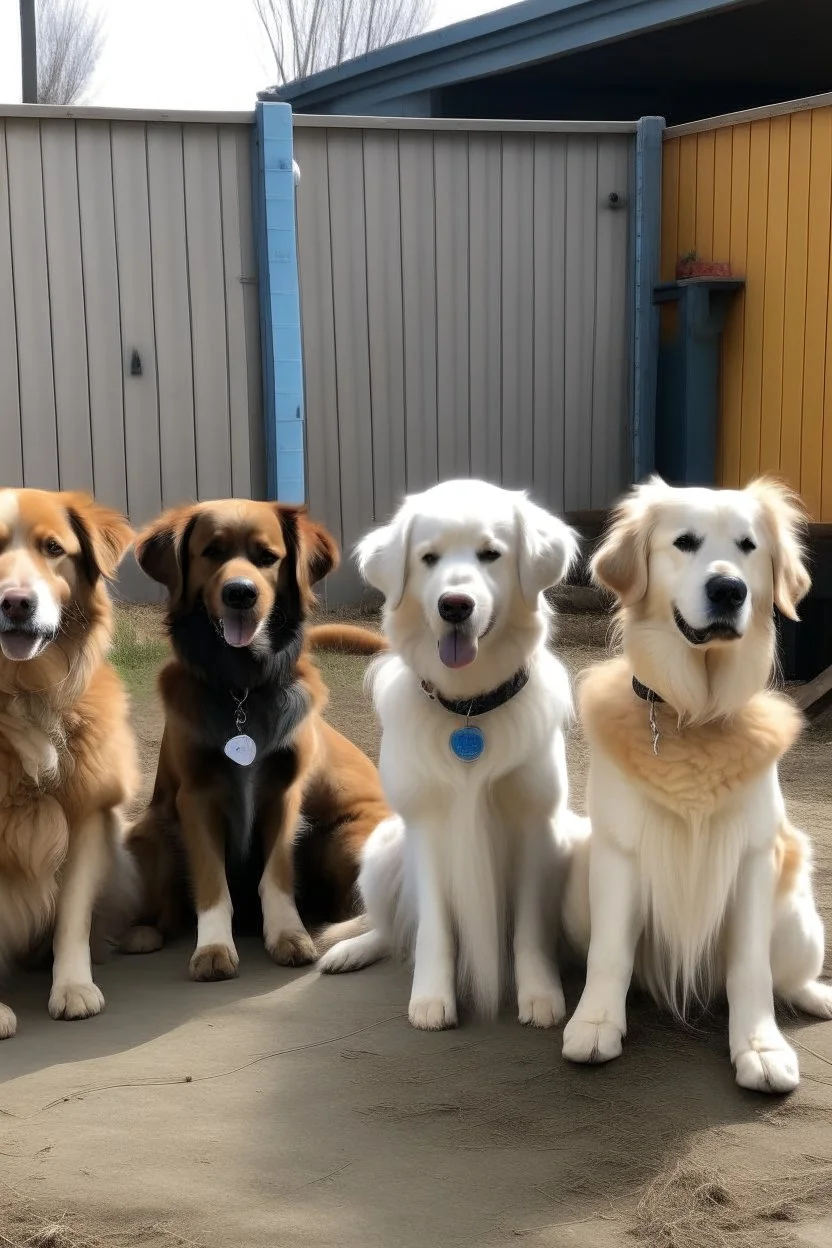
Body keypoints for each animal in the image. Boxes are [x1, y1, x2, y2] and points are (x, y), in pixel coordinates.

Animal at [124, 501, 391, 978]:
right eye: (211, 552)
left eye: (267, 557)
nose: (241, 593)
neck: (241, 686)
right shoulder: (195, 797)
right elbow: (212, 881)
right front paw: (212, 947)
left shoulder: (285, 794)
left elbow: (277, 875)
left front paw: (288, 934)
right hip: (149, 830)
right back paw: (144, 933)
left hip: (346, 836)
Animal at [319, 481, 586, 1028]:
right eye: (428, 558)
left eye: (490, 554)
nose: (455, 605)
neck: (468, 708)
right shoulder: (426, 825)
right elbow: (434, 928)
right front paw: (431, 997)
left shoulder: (535, 822)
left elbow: (529, 929)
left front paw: (538, 992)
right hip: (381, 849)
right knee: (394, 928)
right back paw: (351, 949)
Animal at [558, 476, 832, 1093]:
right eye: (684, 542)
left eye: (749, 546)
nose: (729, 589)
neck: (692, 716)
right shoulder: (619, 852)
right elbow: (610, 954)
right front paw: (596, 1022)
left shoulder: (753, 855)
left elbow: (751, 966)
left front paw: (759, 1046)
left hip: (800, 915)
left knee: (789, 977)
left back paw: (817, 997)